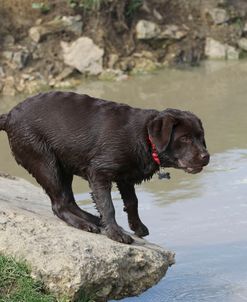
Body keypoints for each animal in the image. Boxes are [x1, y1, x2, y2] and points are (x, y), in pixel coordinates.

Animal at [0, 91, 209, 244]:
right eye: (185, 138)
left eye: (201, 137)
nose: (206, 157)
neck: (145, 138)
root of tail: (9, 116)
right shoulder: (99, 172)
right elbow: (108, 206)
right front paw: (116, 233)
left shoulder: (125, 178)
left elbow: (132, 203)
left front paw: (137, 227)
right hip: (45, 162)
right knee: (59, 205)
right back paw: (83, 224)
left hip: (63, 165)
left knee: (68, 200)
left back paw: (91, 219)